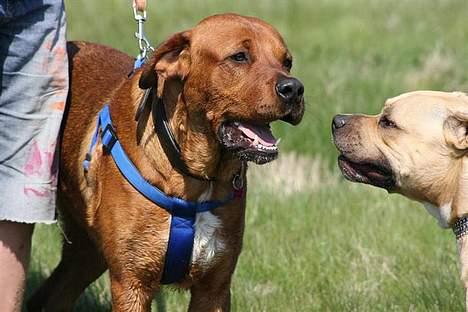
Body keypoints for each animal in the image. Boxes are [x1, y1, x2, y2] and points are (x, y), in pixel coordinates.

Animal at [26, 13, 304, 310]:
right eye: (239, 57)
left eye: (287, 61)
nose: (294, 88)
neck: (196, 177)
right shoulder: (132, 284)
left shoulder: (214, 287)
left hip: (86, 252)